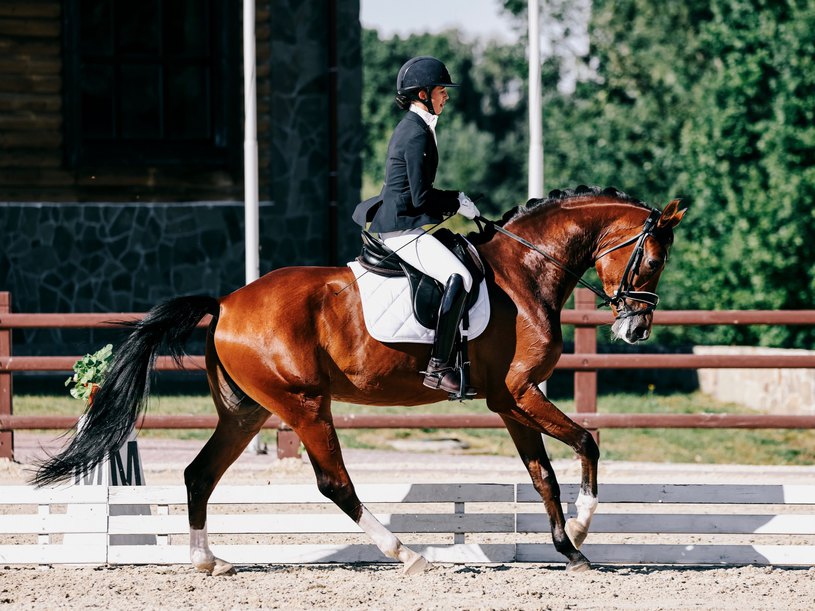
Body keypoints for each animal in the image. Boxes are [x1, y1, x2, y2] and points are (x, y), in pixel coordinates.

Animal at [36, 185, 688, 572]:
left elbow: (542, 474)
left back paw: (207, 561)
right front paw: (580, 528)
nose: (635, 330)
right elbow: (587, 442)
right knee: (334, 484)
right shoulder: (521, 392)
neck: (525, 272)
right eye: (653, 259)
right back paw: (407, 554)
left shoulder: (509, 402)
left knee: (200, 474)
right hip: (304, 404)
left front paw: (567, 548)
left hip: (248, 411)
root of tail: (225, 303)